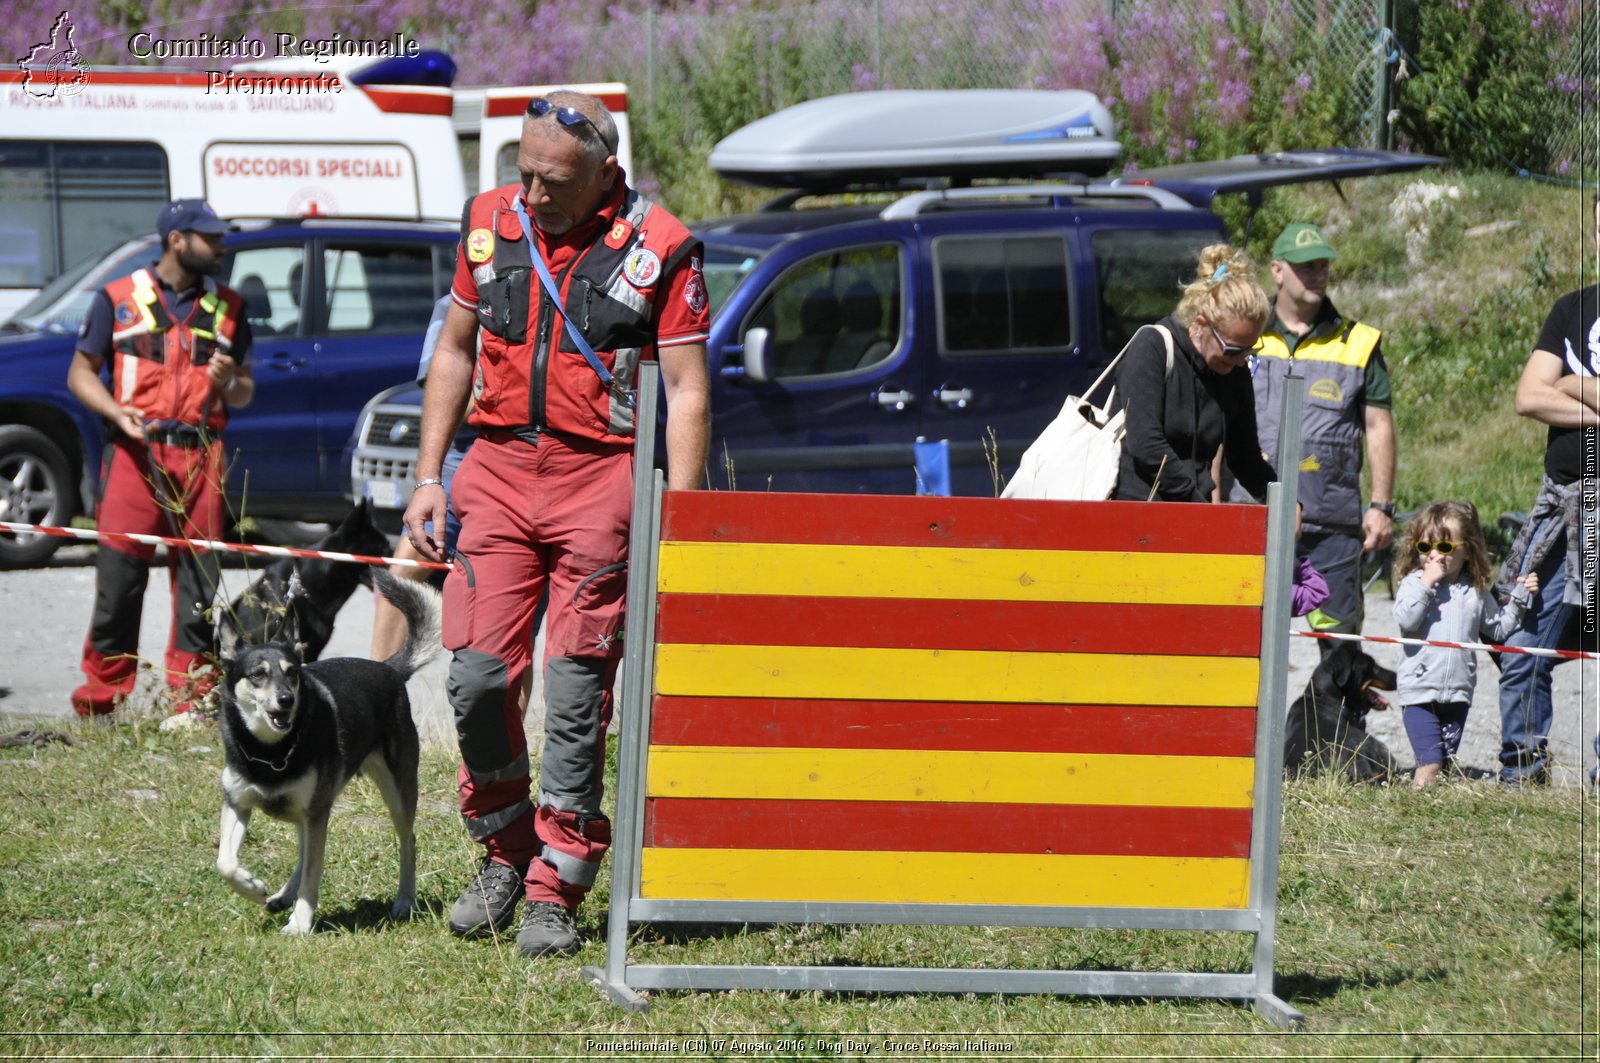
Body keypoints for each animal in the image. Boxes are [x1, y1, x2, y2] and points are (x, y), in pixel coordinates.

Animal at [212, 573, 441, 928]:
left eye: (292, 672)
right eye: (257, 675)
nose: (286, 700)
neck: (271, 752)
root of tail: (389, 669)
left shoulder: (317, 812)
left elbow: (313, 873)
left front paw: (300, 923)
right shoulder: (237, 803)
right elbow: (224, 862)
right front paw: (252, 887)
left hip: (396, 791)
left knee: (408, 842)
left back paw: (405, 900)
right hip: (307, 809)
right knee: (304, 851)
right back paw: (283, 895)